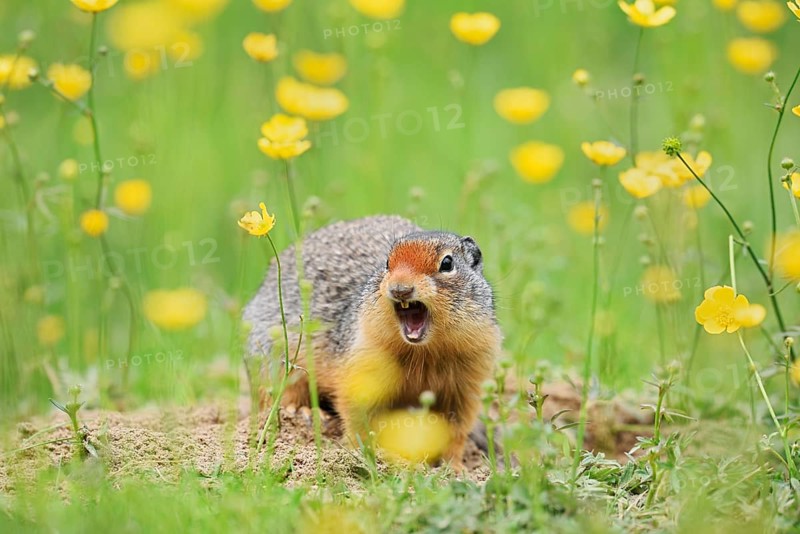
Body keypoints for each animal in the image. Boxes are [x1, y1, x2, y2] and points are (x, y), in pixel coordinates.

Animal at [243, 215, 502, 468]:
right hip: (271, 356)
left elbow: (456, 429)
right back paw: (304, 412)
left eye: (447, 263)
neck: (424, 352)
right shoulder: (364, 357)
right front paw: (358, 452)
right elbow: (357, 413)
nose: (400, 289)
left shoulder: (469, 377)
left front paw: (454, 468)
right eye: (387, 263)